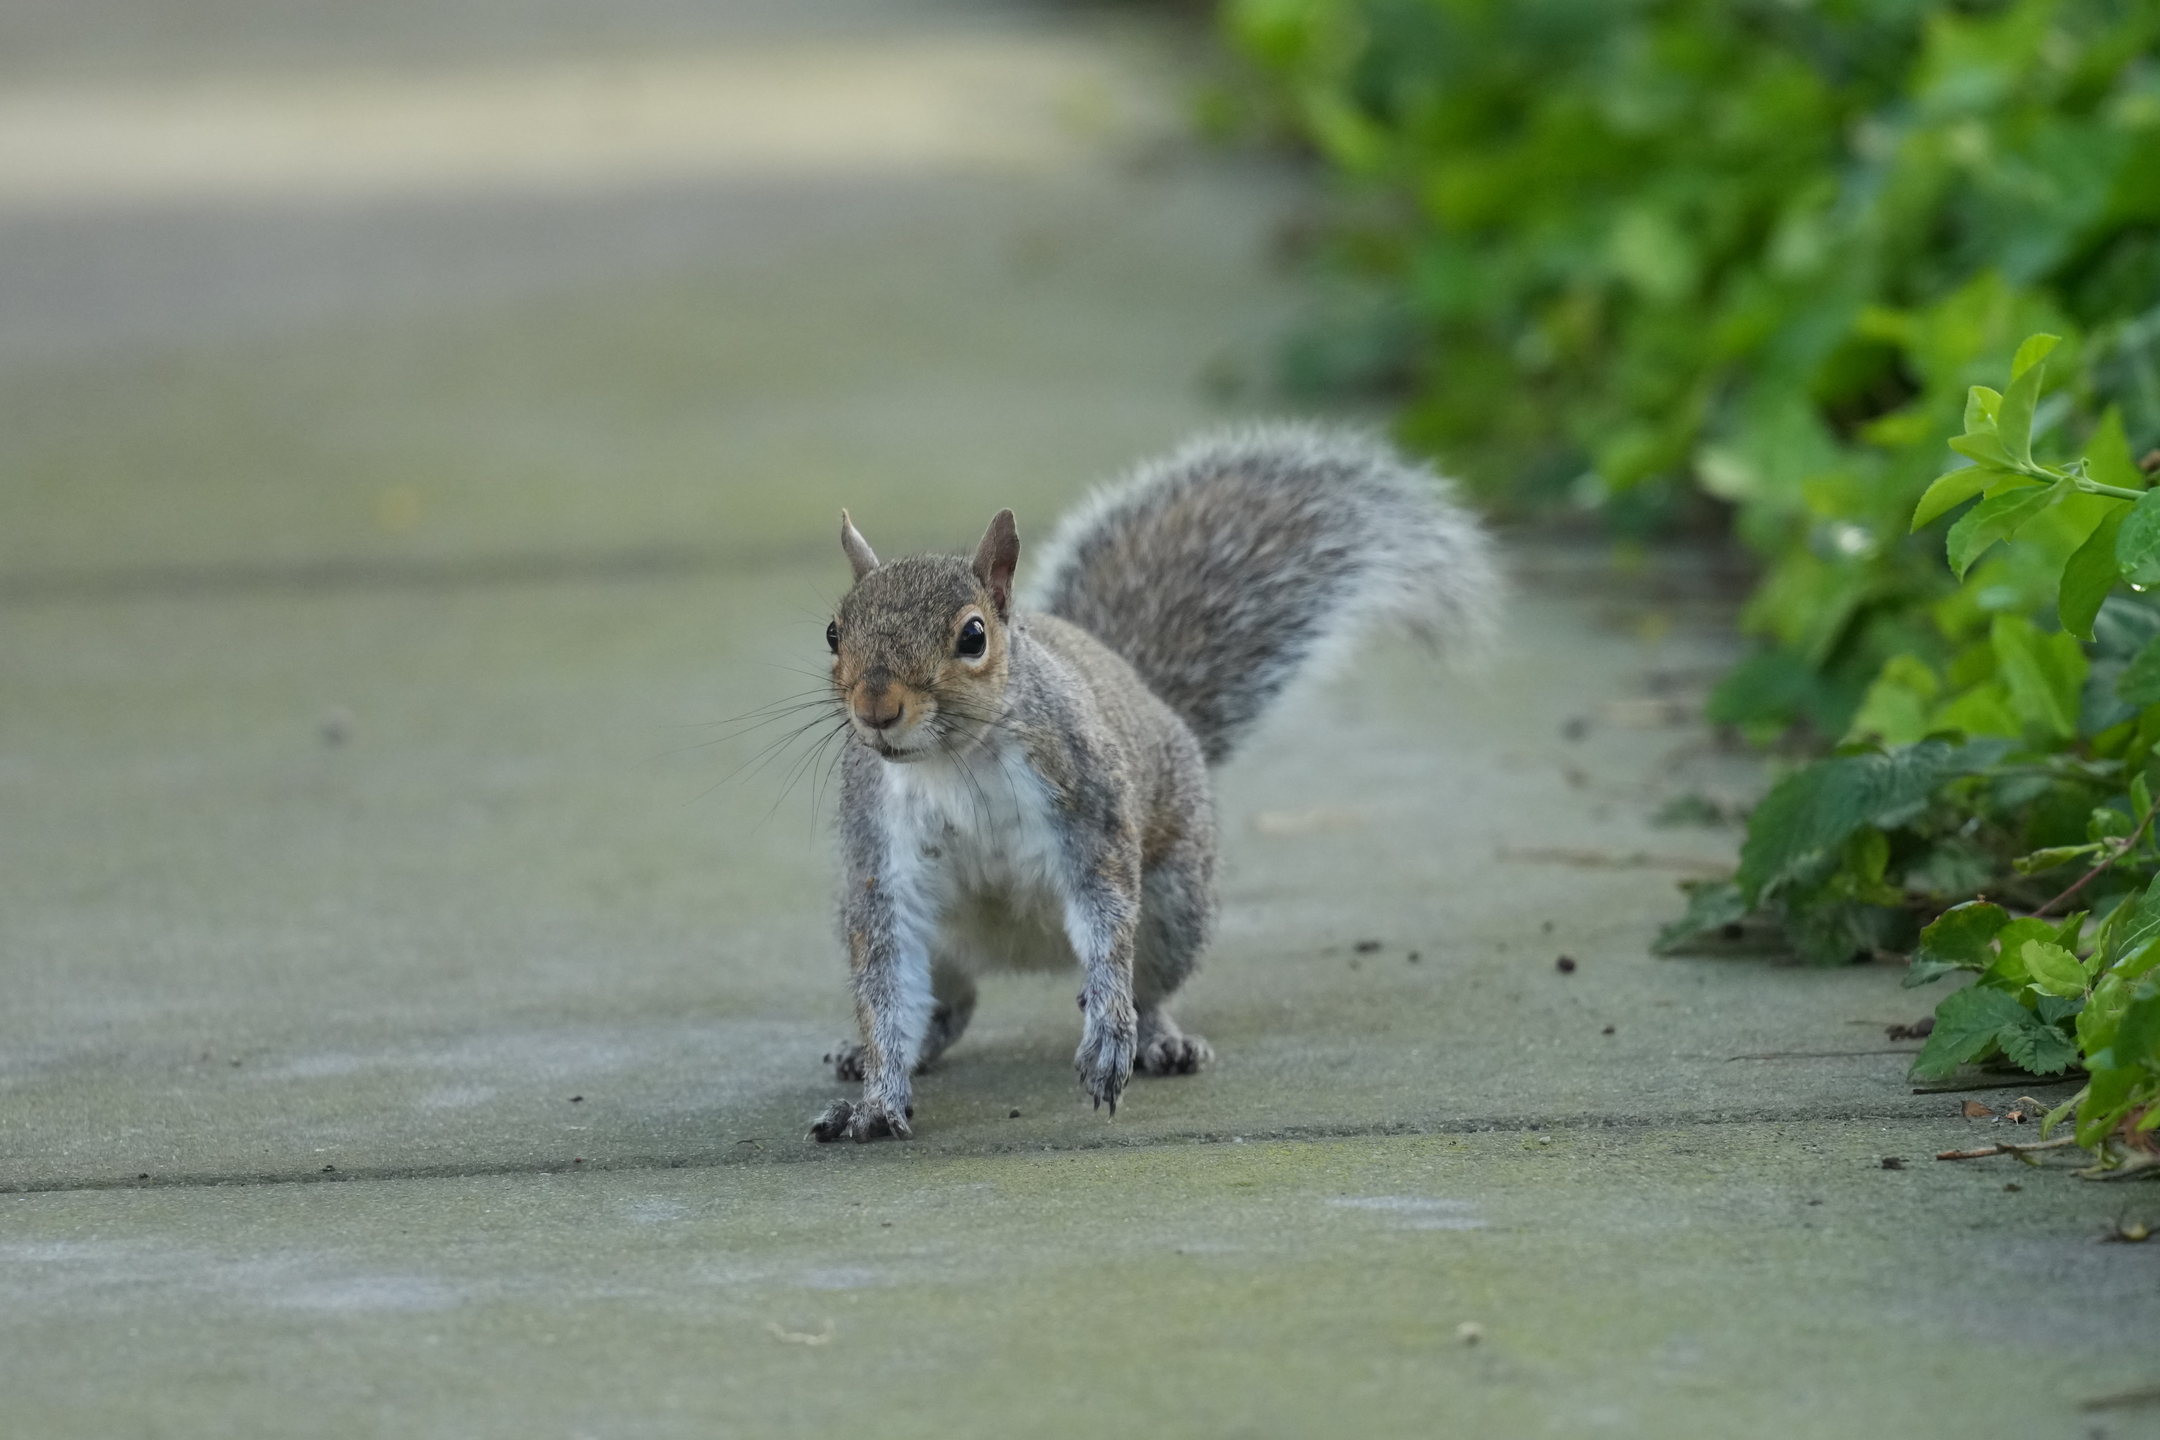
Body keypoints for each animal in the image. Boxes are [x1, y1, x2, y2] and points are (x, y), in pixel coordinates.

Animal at [806, 424, 1498, 1142]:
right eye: (833, 632)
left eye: (974, 636)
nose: (876, 708)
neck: (954, 762)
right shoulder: (879, 852)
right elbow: (883, 980)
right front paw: (878, 1099)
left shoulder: (1090, 806)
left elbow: (1108, 919)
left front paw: (1111, 1038)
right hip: (926, 938)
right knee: (947, 1003)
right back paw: (884, 1051)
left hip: (1175, 907)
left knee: (1145, 983)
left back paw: (1157, 1037)